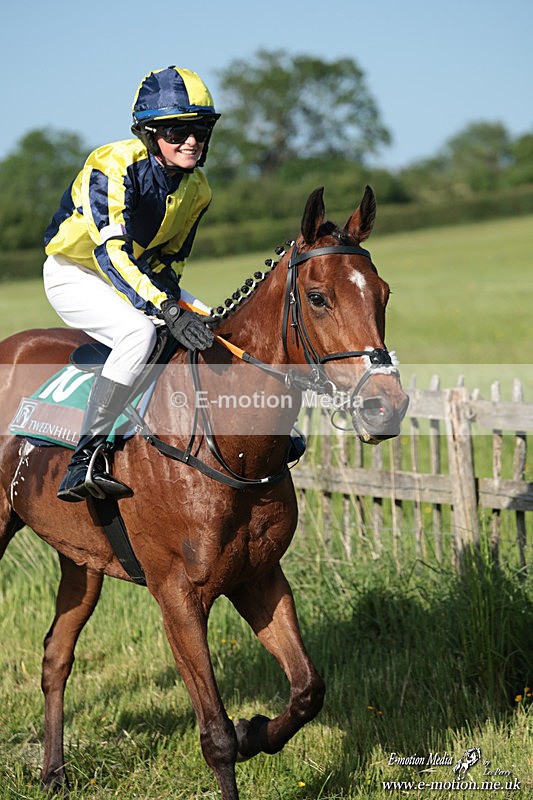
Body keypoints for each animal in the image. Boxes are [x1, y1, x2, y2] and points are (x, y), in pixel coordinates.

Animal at [0, 185, 409, 800]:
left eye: (382, 293)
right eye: (318, 298)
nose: (387, 406)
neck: (227, 444)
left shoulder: (259, 575)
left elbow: (308, 689)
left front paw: (256, 730)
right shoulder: (177, 595)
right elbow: (214, 732)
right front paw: (236, 735)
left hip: (82, 559)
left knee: (56, 655)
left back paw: (52, 772)